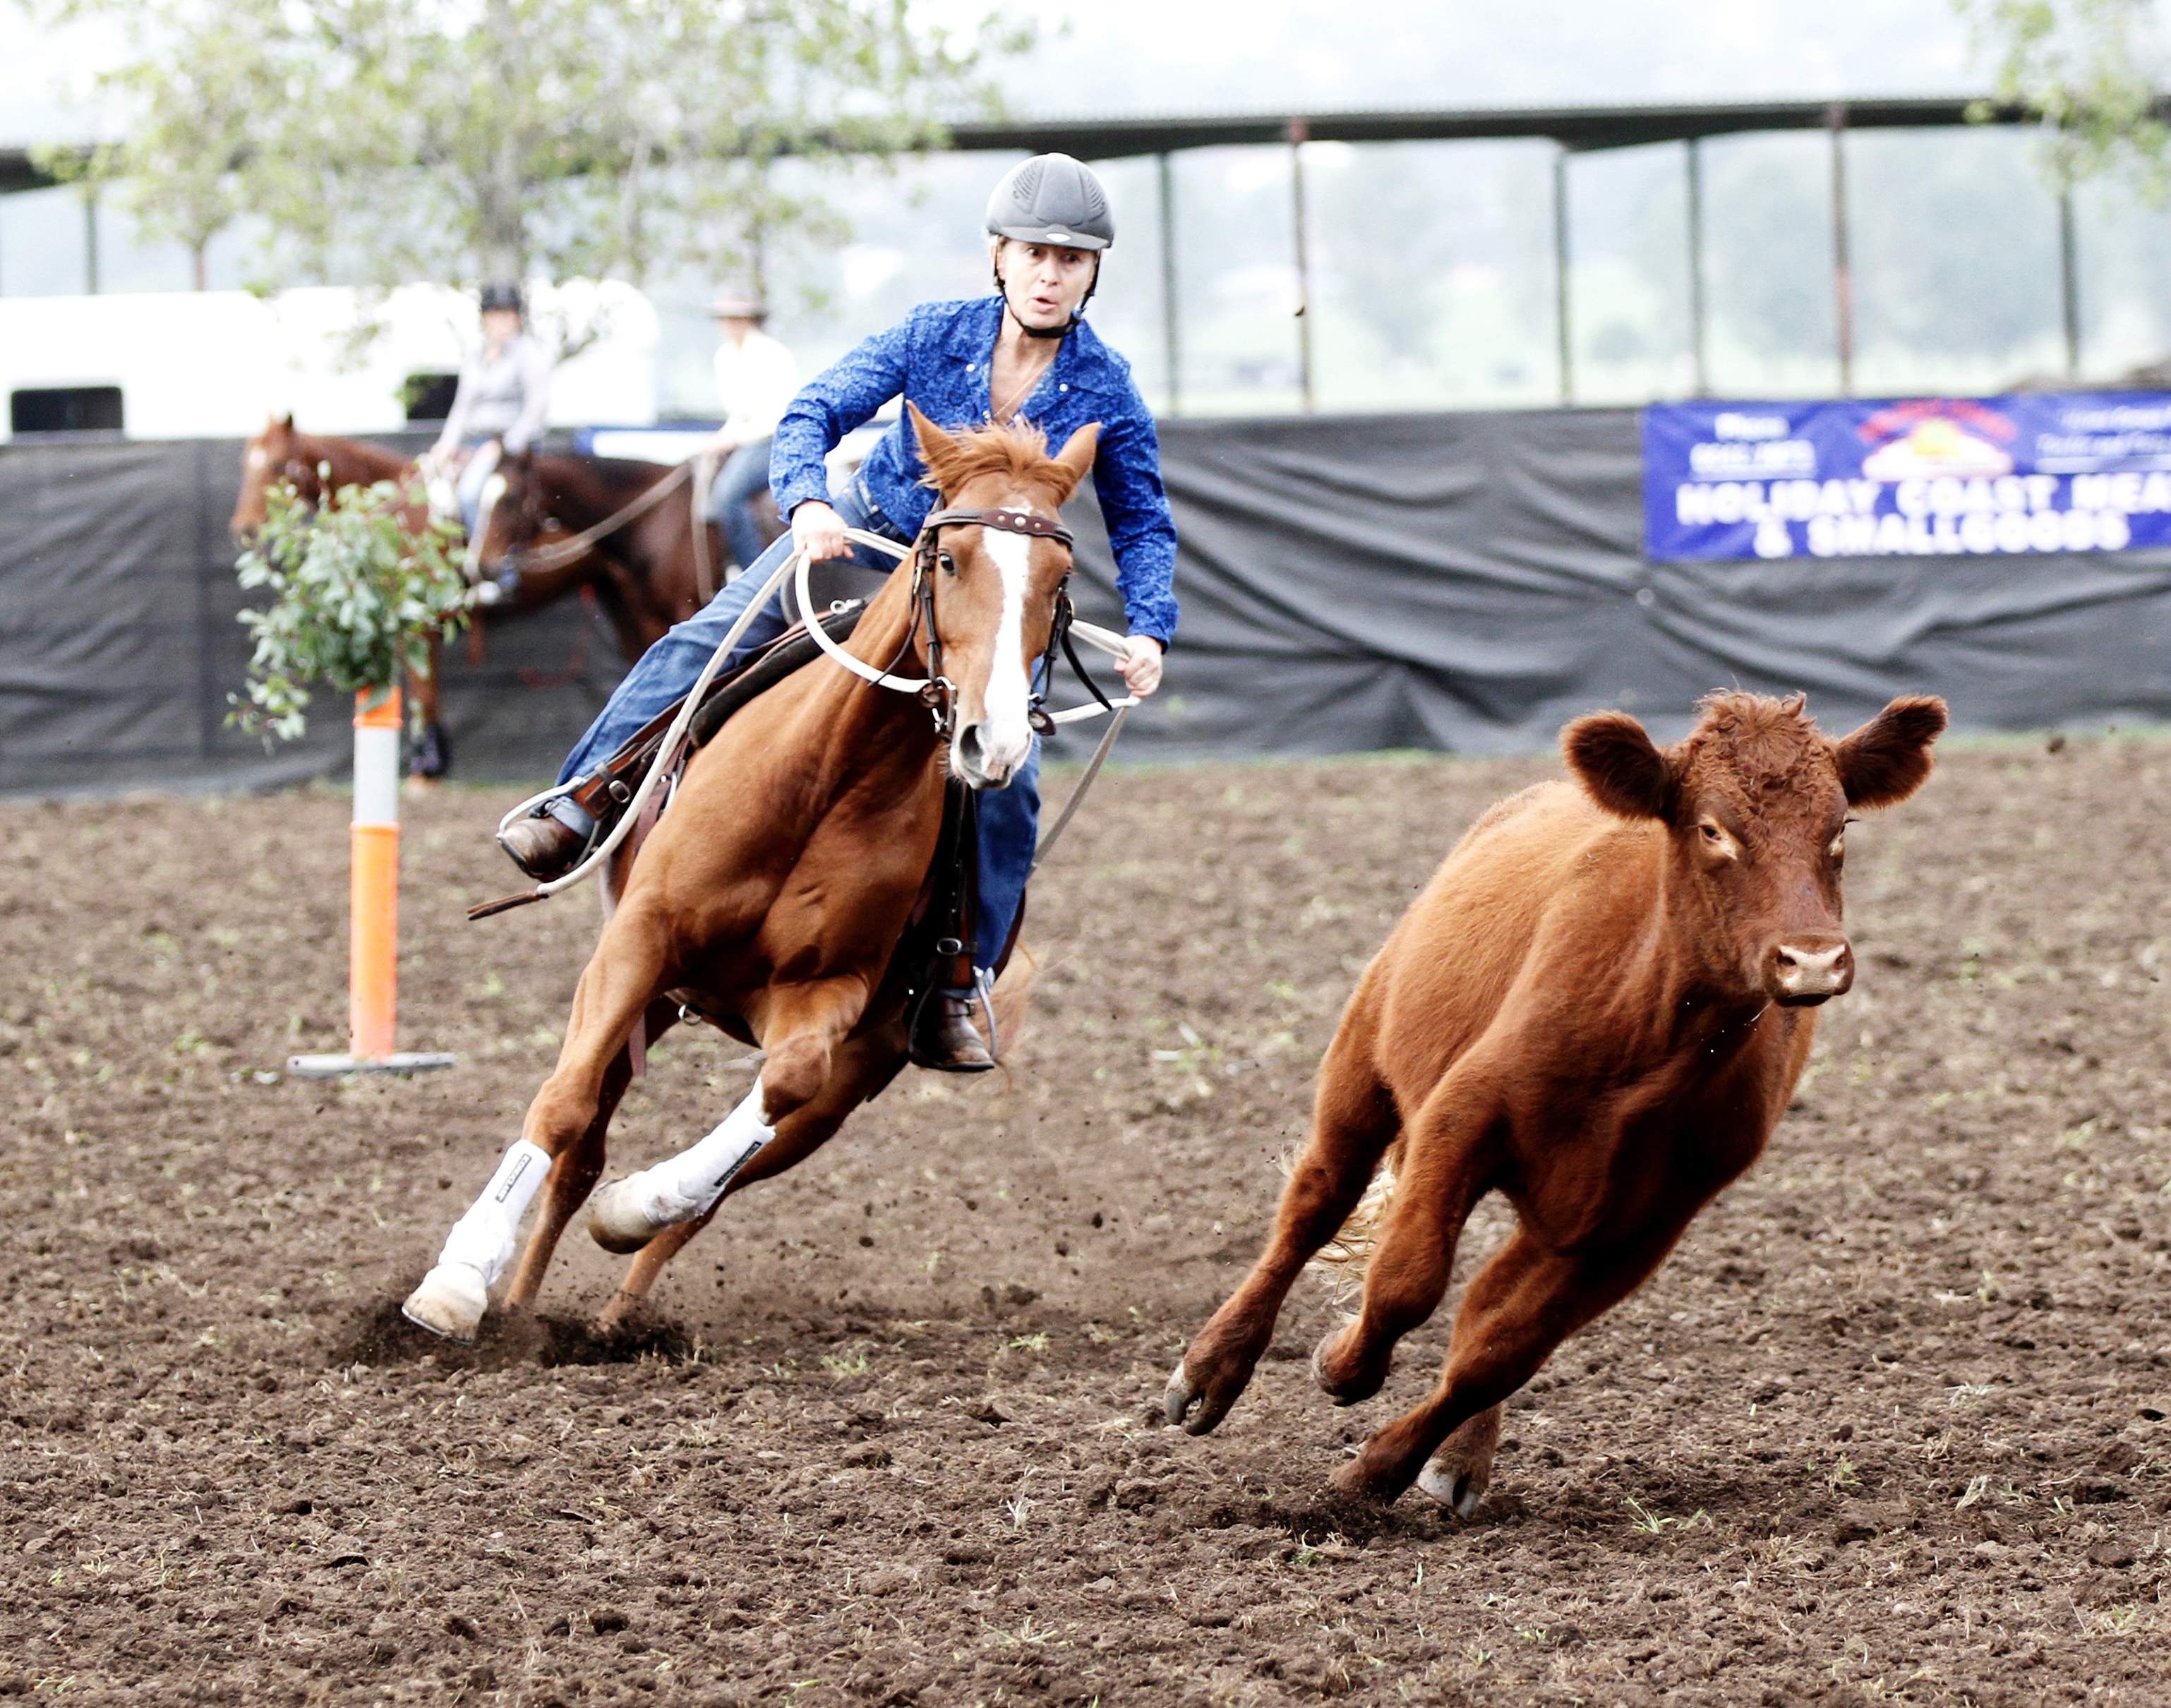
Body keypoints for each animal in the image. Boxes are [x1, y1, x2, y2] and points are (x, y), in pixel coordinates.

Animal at [401, 405, 1094, 1345]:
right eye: (948, 557)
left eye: (1058, 578)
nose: (997, 740)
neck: (825, 773)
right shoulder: (637, 944)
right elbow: (562, 1103)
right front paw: (456, 1281)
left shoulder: (827, 996)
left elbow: (779, 1085)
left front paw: (635, 1207)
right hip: (657, 997)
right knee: (582, 1151)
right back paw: (520, 1306)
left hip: (855, 1073)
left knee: (721, 1185)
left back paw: (619, 1301)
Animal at [1163, 690, 1948, 1507]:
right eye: (1712, 828)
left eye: (1839, 828)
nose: (1812, 960)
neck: (1650, 1045)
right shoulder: (1459, 1118)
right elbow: (1406, 1281)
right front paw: (1340, 1361)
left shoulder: (1643, 1224)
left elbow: (1499, 1350)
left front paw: (1382, 1468)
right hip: (1362, 1061)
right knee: (1316, 1202)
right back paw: (1209, 1370)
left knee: (1482, 1301)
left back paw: (1460, 1457)